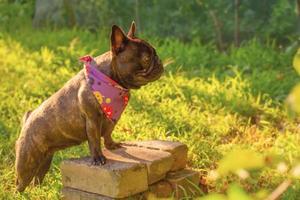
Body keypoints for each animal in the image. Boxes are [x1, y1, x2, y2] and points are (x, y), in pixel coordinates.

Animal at [14, 21, 164, 191]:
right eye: (146, 58)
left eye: (154, 54)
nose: (159, 61)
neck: (111, 80)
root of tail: (27, 120)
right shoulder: (93, 120)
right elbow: (94, 140)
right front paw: (98, 159)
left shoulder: (110, 121)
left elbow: (107, 134)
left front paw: (112, 145)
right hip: (27, 162)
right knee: (20, 183)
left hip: (45, 160)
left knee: (38, 178)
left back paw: (39, 190)